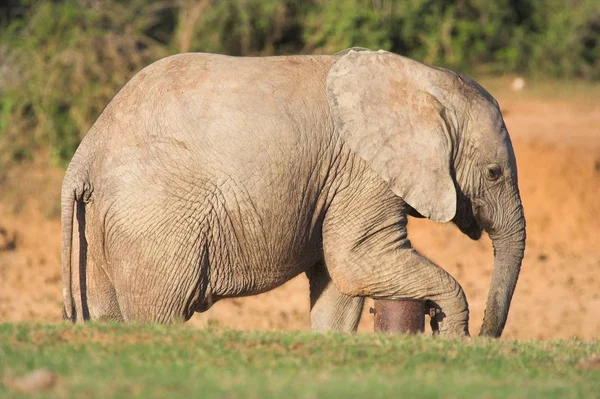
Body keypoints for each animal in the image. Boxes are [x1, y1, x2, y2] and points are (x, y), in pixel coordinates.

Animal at [62, 48, 524, 340]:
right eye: (494, 174)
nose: (486, 338)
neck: (423, 80)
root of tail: (82, 157)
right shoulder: (363, 172)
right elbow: (356, 260)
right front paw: (451, 333)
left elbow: (338, 283)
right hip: (154, 223)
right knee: (160, 312)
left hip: (101, 224)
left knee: (107, 312)